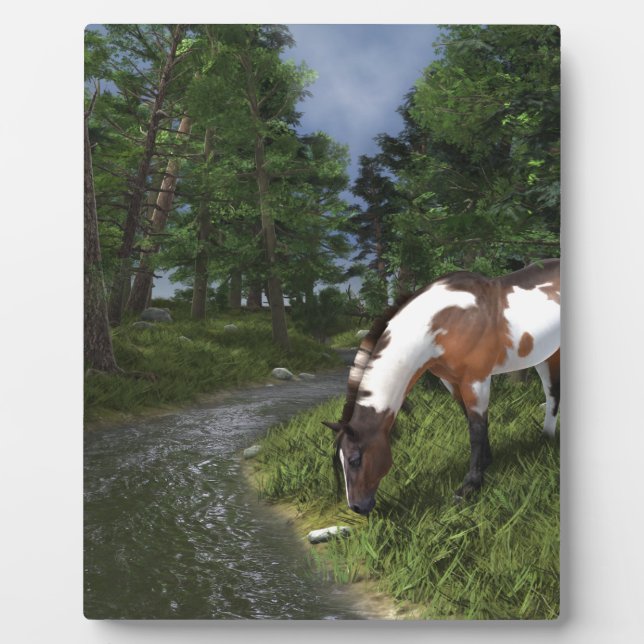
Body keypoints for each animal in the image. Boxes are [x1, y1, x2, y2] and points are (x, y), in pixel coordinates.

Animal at [323, 259, 560, 516]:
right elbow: (470, 419)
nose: (357, 507)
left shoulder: (475, 380)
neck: (445, 321)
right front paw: (486, 463)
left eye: (355, 460)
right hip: (545, 357)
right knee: (552, 394)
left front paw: (469, 486)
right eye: (340, 459)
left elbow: (476, 429)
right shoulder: (451, 381)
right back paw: (545, 438)